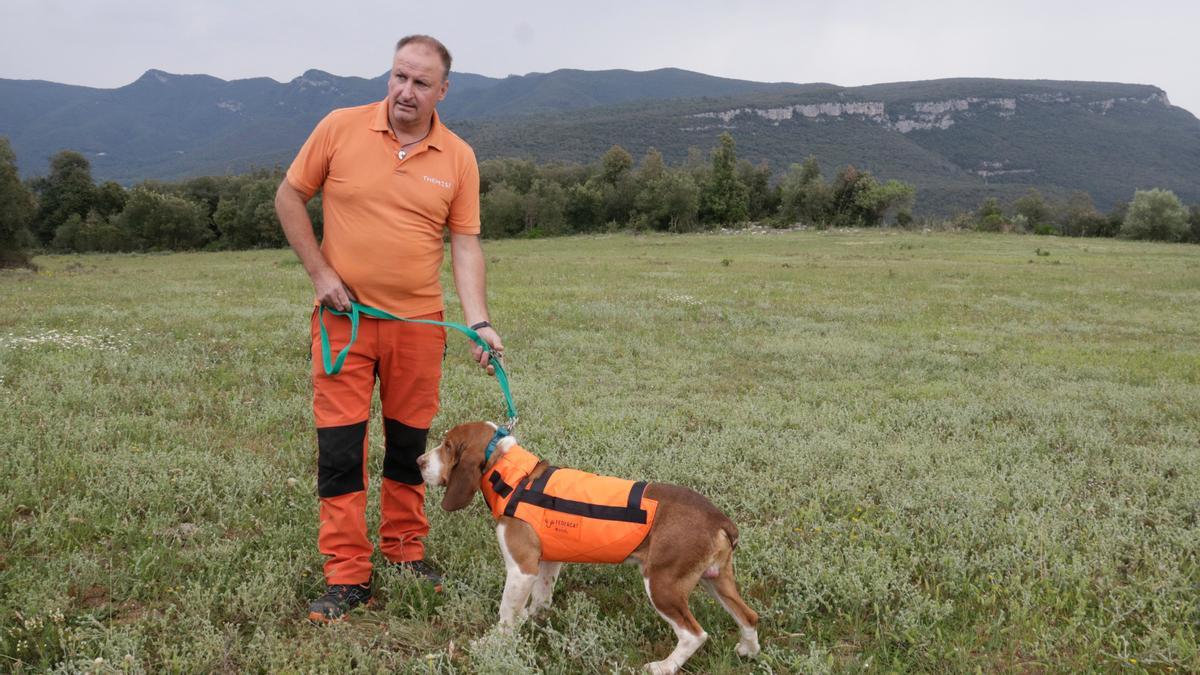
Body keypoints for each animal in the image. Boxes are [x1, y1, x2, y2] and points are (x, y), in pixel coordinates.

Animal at [420, 417, 758, 667]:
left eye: (447, 446)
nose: (420, 460)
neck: (515, 478)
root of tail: (719, 519)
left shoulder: (521, 569)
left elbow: (506, 614)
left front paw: (493, 645)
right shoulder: (547, 563)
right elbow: (540, 600)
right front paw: (534, 621)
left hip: (662, 585)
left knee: (694, 634)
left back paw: (663, 667)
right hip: (715, 579)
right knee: (749, 616)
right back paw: (748, 650)